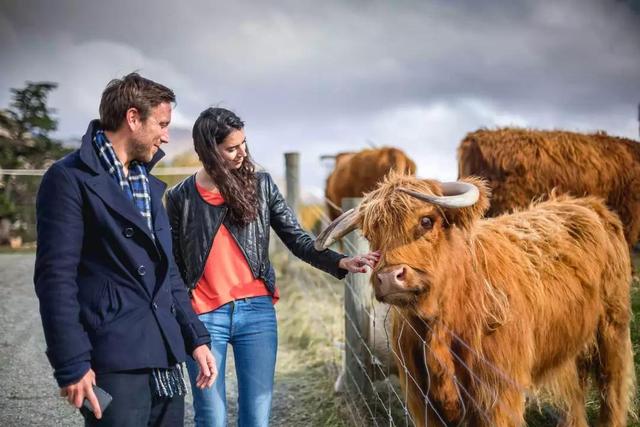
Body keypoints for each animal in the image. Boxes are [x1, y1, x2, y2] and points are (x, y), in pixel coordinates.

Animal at [316, 174, 636, 427]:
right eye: (371, 233)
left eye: (426, 221)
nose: (389, 277)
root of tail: (586, 203)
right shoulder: (423, 401)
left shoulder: (497, 395)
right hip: (574, 339)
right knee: (578, 389)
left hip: (612, 328)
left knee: (612, 387)